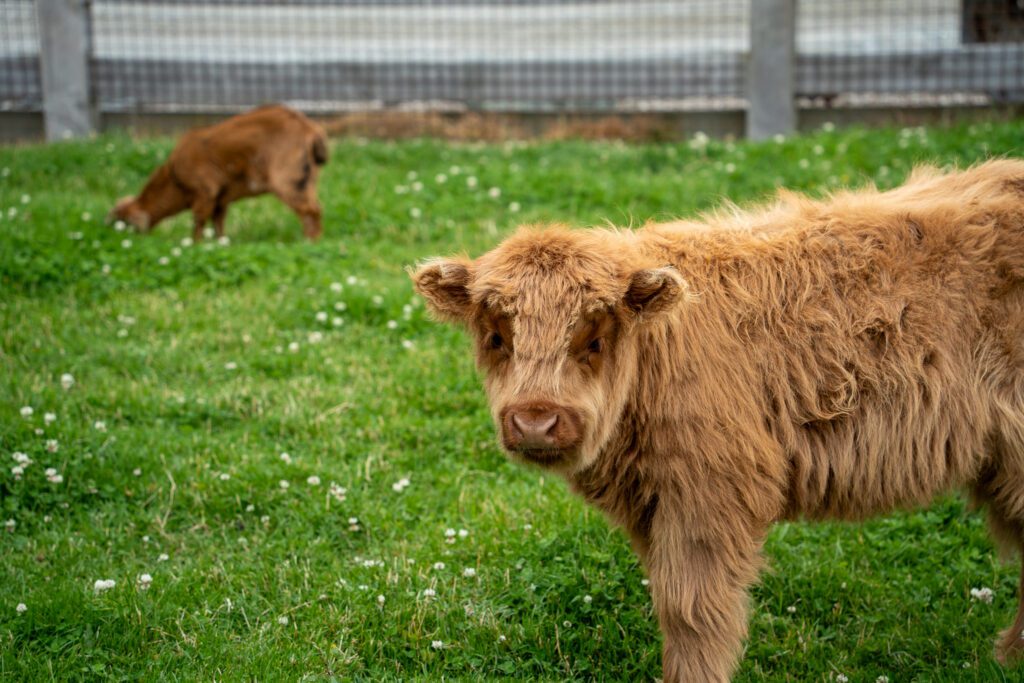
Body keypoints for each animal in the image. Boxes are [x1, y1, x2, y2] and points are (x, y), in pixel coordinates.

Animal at [109, 104, 328, 241]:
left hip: (288, 177)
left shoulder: (205, 190)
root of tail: (309, 128)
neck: (173, 177)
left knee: (311, 211)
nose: (111, 233)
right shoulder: (221, 200)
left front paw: (194, 244)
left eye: (122, 222)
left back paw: (309, 242)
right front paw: (220, 242)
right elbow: (218, 224)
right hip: (307, 177)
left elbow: (198, 221)